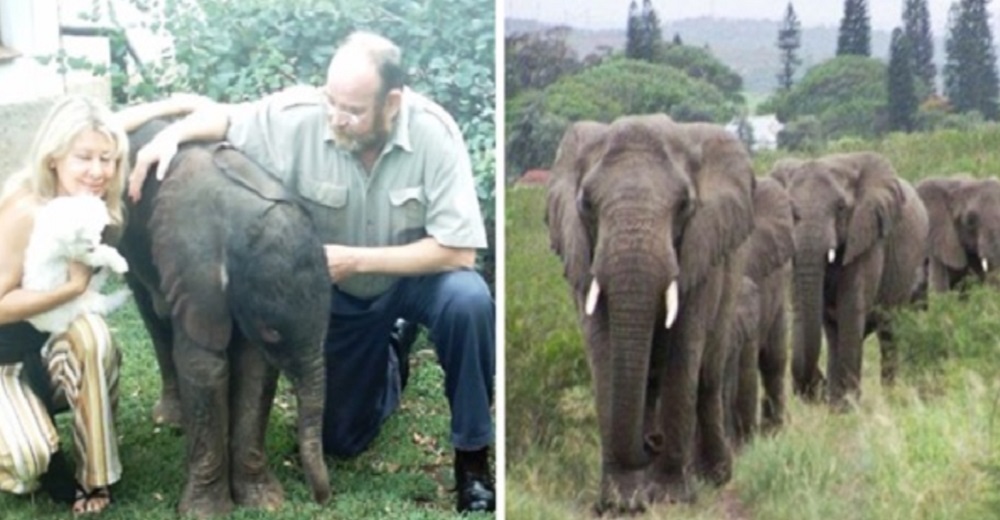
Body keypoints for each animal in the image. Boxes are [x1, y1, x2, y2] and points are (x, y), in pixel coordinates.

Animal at [22, 194, 132, 334]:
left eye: (97, 231)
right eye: (83, 238)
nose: (93, 247)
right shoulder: (78, 255)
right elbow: (103, 253)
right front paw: (120, 263)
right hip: (84, 303)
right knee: (106, 303)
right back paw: (125, 293)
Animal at [119, 121, 332, 516]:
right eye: (272, 332)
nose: (322, 499)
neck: (240, 216)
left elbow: (255, 369)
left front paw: (264, 503)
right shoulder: (191, 268)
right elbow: (204, 366)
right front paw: (206, 513)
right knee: (152, 315)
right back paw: (171, 420)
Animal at [548, 115, 752, 512]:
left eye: (685, 205)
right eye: (586, 204)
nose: (652, 442)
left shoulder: (698, 255)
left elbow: (683, 353)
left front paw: (672, 499)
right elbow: (603, 353)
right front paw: (621, 502)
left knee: (707, 376)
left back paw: (714, 477)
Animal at [772, 152, 928, 408]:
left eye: (841, 207)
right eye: (790, 210)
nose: (819, 387)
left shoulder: (868, 235)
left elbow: (850, 308)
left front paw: (849, 408)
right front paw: (838, 407)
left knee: (888, 332)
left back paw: (889, 398)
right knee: (833, 332)